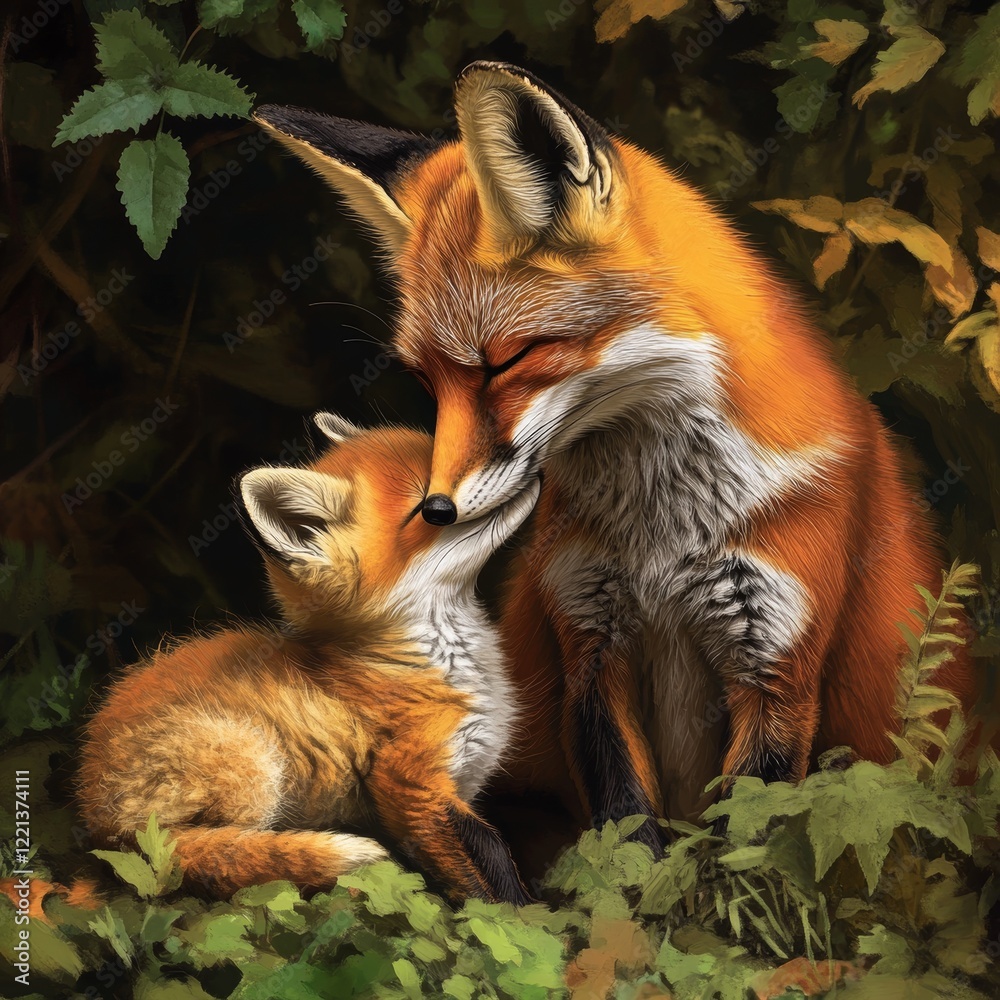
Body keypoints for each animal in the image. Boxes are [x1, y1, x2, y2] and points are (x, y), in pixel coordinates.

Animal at [77, 415, 538, 903]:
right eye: (435, 508)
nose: (529, 457)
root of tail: (91, 807)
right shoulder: (412, 784)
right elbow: (487, 867)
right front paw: (515, 911)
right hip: (251, 763)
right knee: (186, 857)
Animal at [253, 62, 983, 843]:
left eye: (504, 362)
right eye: (427, 381)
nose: (438, 508)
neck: (664, 531)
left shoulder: (776, 665)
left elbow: (739, 844)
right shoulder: (590, 649)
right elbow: (627, 831)